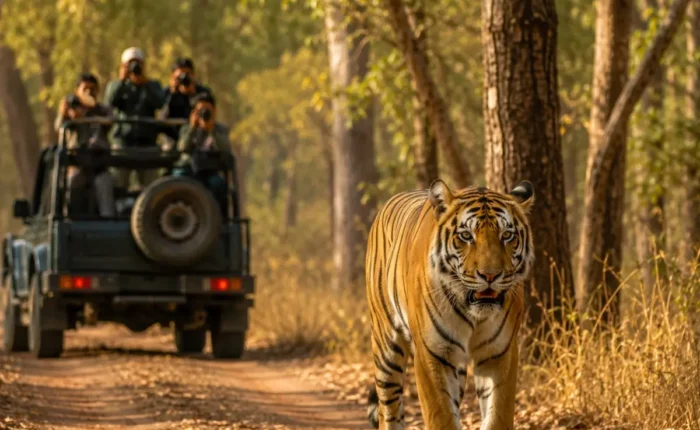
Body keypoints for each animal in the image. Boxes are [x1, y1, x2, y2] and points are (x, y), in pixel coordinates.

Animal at [364, 179, 534, 430]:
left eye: (507, 235)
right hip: (386, 347)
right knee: (389, 410)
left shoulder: (499, 353)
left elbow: (497, 416)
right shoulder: (432, 354)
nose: (490, 275)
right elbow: (441, 416)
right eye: (466, 236)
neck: (475, 315)